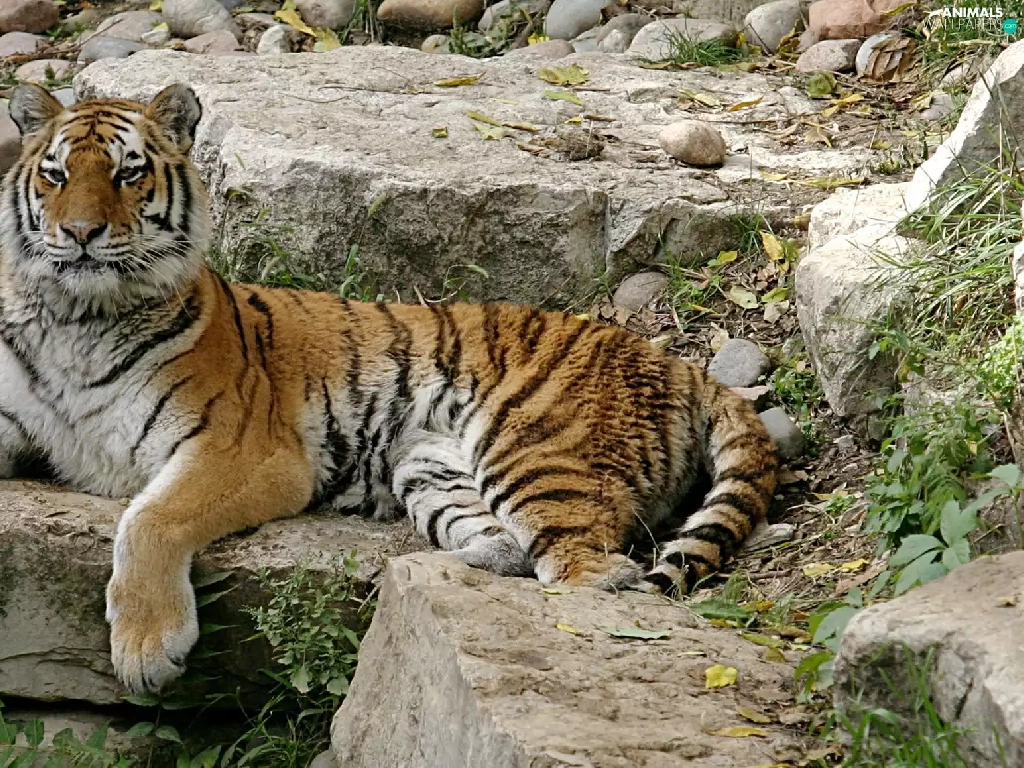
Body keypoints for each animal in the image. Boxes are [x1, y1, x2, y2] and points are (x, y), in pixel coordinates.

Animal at [0, 83, 778, 695]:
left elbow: (149, 520)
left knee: (593, 572)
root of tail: (683, 364)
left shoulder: (243, 451)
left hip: (535, 450)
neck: (79, 319)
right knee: (510, 551)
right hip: (428, 464)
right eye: (55, 175)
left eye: (128, 173)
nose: (80, 233)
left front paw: (145, 647)